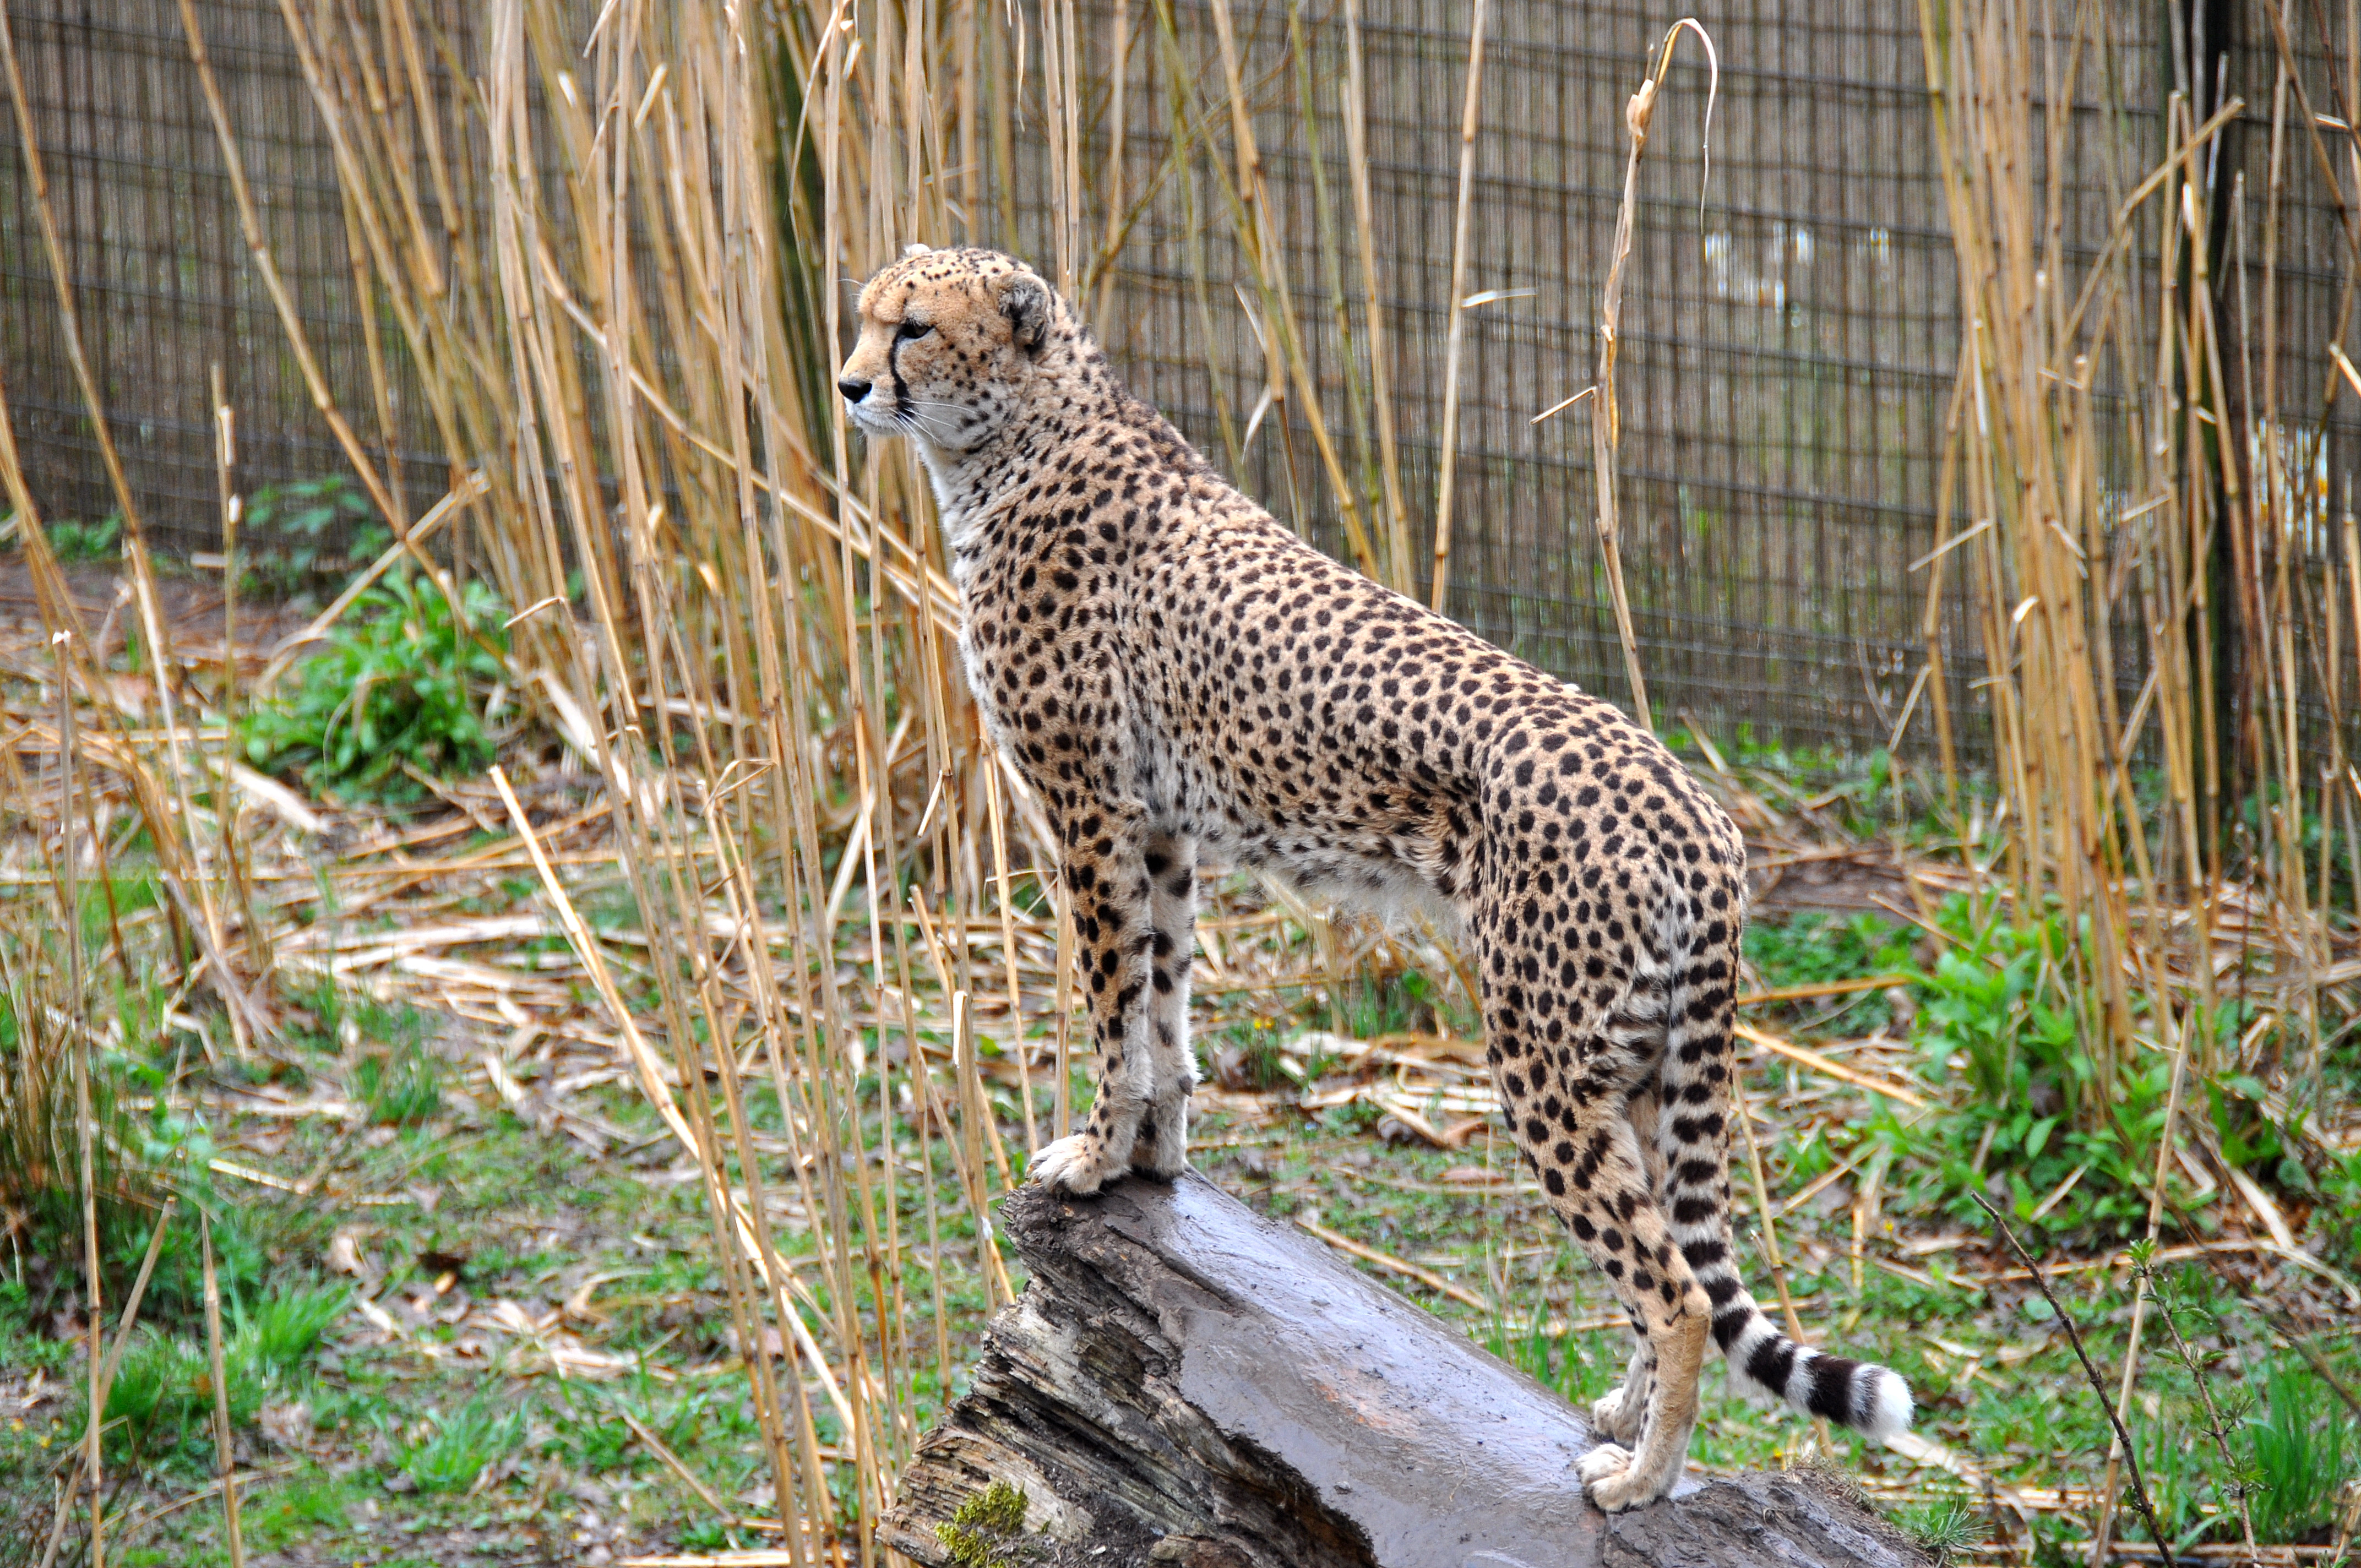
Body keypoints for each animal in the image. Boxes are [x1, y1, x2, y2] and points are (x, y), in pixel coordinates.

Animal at [840, 246, 1907, 1511]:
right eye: (864, 316)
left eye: (911, 327)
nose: (849, 385)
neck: (1021, 436)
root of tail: (1690, 806)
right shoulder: (1161, 829)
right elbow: (1164, 1000)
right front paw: (1152, 1154)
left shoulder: (1090, 814)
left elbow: (1109, 1009)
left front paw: (1092, 1157)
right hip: (1639, 1056)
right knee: (1668, 1238)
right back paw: (1621, 1411)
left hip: (1541, 1053)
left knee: (1677, 1286)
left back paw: (1641, 1478)